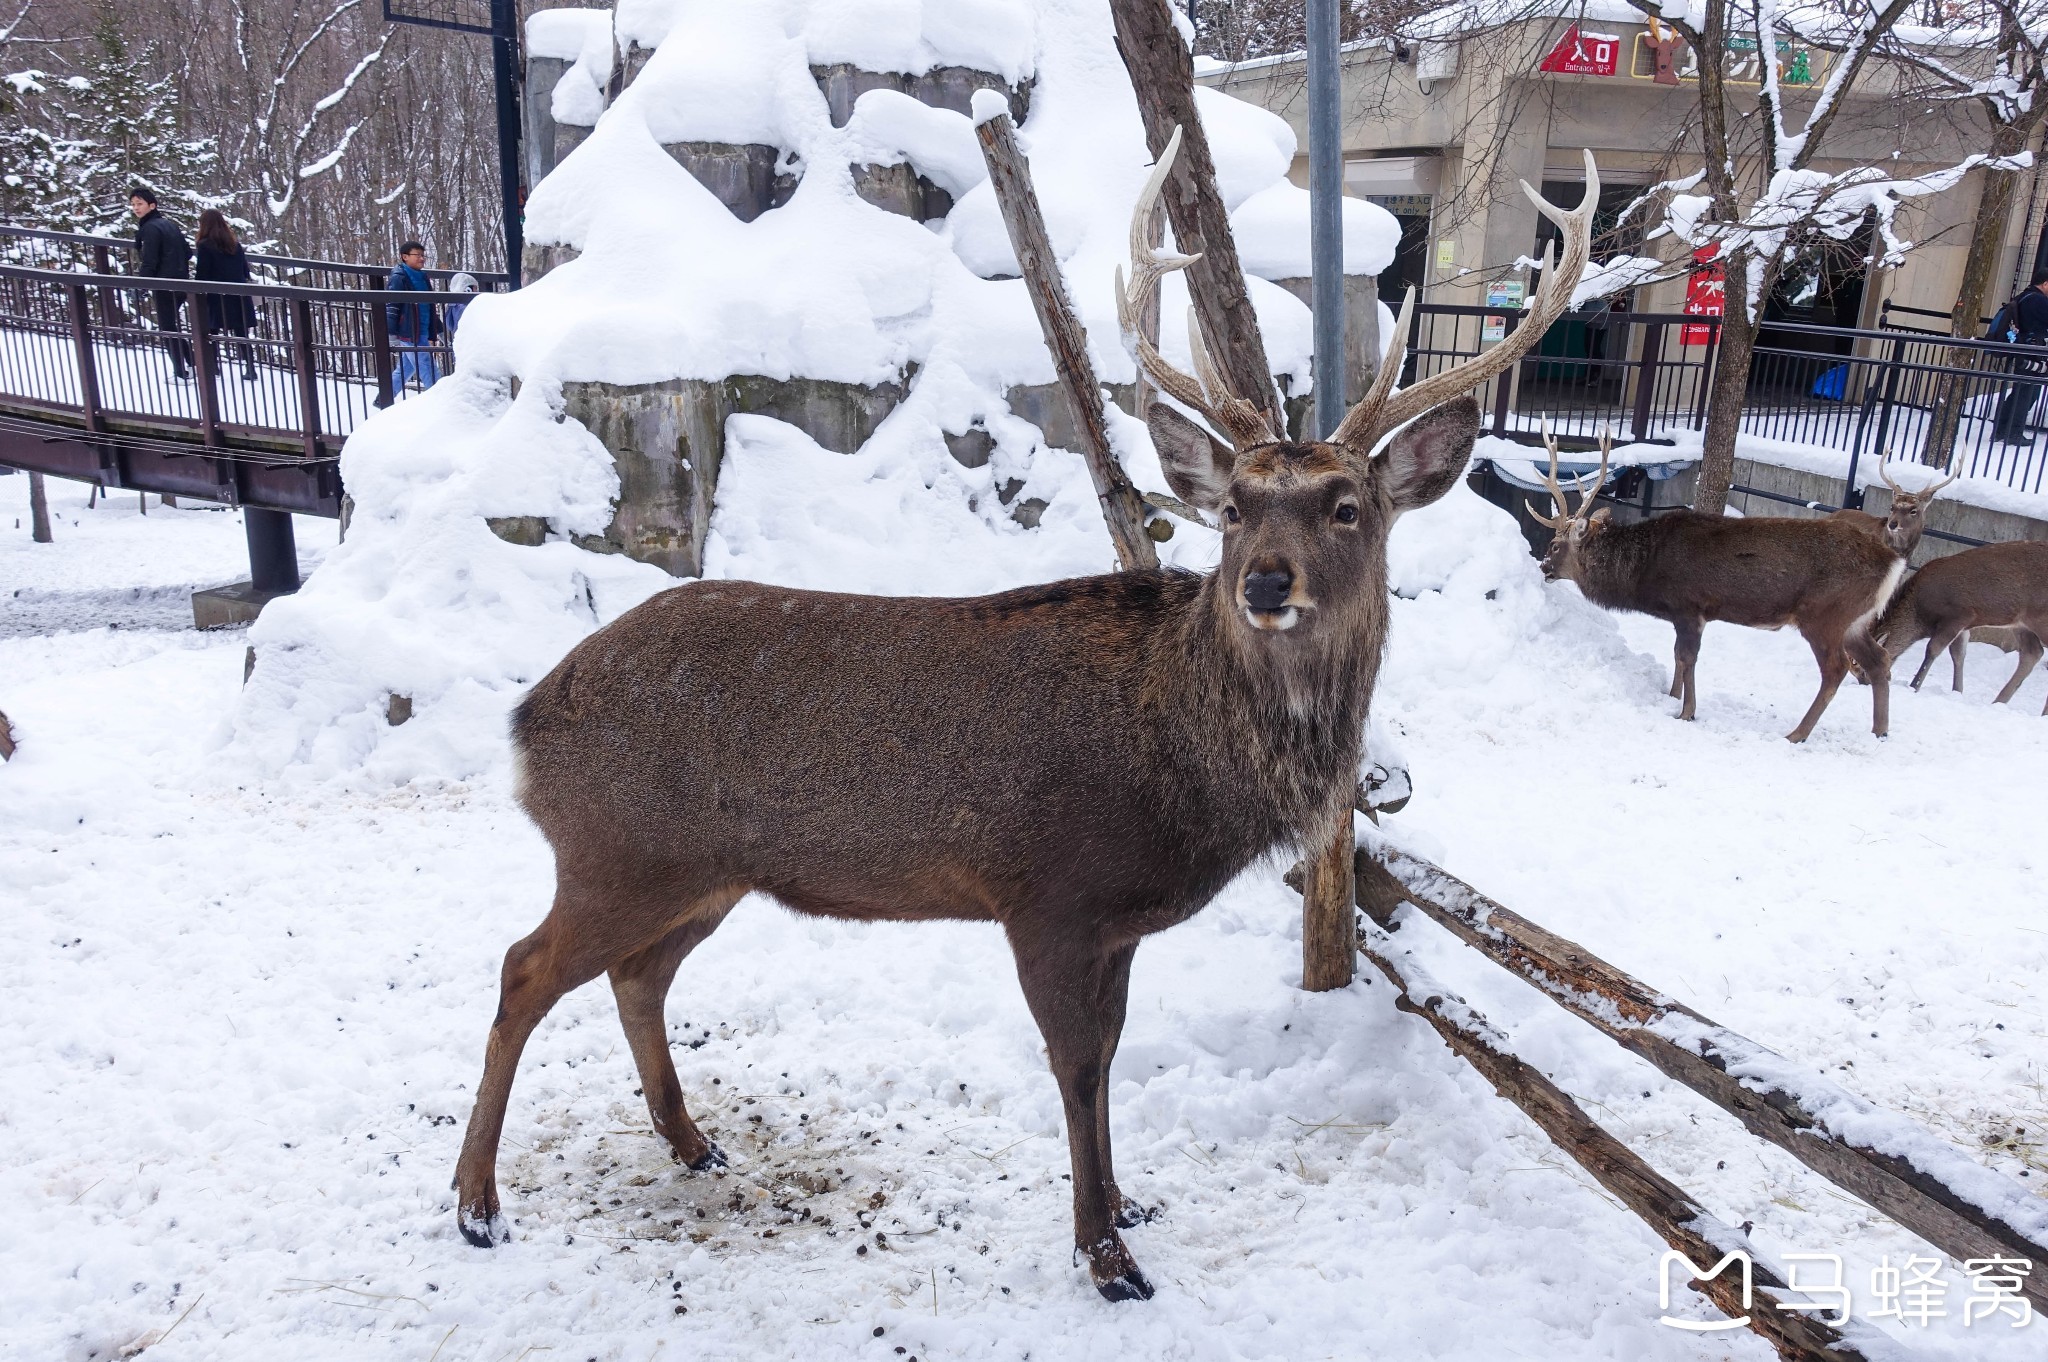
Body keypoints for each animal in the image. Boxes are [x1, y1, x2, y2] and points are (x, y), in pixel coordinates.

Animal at [456, 133, 1605, 1302]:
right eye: (1233, 508)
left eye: (1347, 507)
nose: (1265, 585)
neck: (1181, 768)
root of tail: (527, 718)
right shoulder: (1048, 894)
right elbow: (1078, 1064)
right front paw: (1106, 1255)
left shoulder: (1116, 922)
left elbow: (1110, 1054)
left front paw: (1128, 1206)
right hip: (616, 849)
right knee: (521, 968)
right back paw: (475, 1205)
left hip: (705, 870)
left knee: (637, 976)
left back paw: (693, 1143)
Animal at [1531, 430, 1908, 737]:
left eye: (1555, 545)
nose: (1543, 567)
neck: (1644, 573)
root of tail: (1894, 562)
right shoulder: (1683, 614)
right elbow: (1678, 656)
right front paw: (1671, 695)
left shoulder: (1689, 606)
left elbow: (1687, 657)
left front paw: (1686, 712)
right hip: (1856, 620)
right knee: (1879, 660)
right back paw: (1880, 730)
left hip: (1825, 613)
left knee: (1836, 669)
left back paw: (1796, 734)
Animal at [1875, 540, 2048, 712]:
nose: (1870, 682)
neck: (1922, 615)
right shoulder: (1964, 626)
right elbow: (1958, 654)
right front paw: (1957, 691)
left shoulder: (1959, 615)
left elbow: (1933, 649)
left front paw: (1914, 687)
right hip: (2021, 623)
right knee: (2033, 652)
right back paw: (1998, 702)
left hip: (2039, 617)